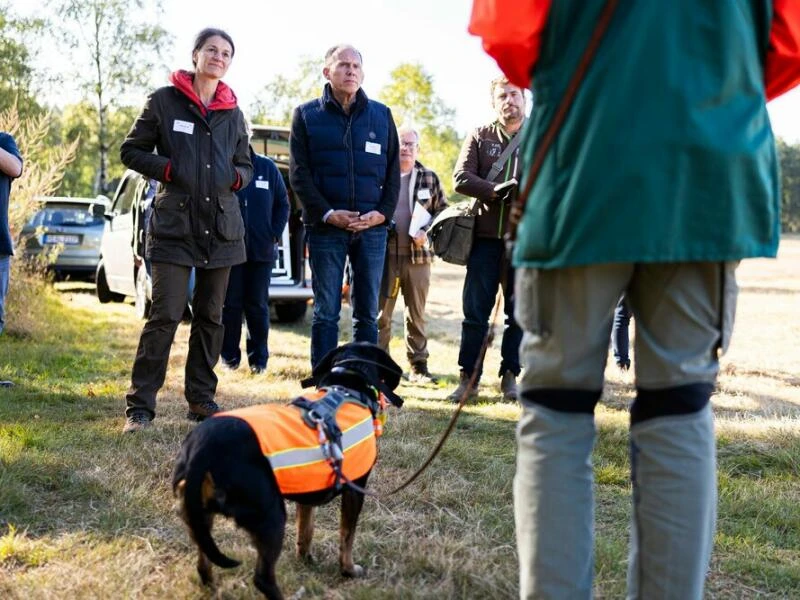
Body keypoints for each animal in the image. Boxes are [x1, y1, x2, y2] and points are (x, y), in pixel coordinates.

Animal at [173, 342, 404, 600]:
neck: (347, 385)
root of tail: (201, 451)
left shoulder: (307, 493)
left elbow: (306, 530)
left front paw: (306, 559)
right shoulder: (355, 490)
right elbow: (347, 535)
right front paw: (349, 570)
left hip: (200, 517)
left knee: (203, 564)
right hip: (271, 516)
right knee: (262, 578)